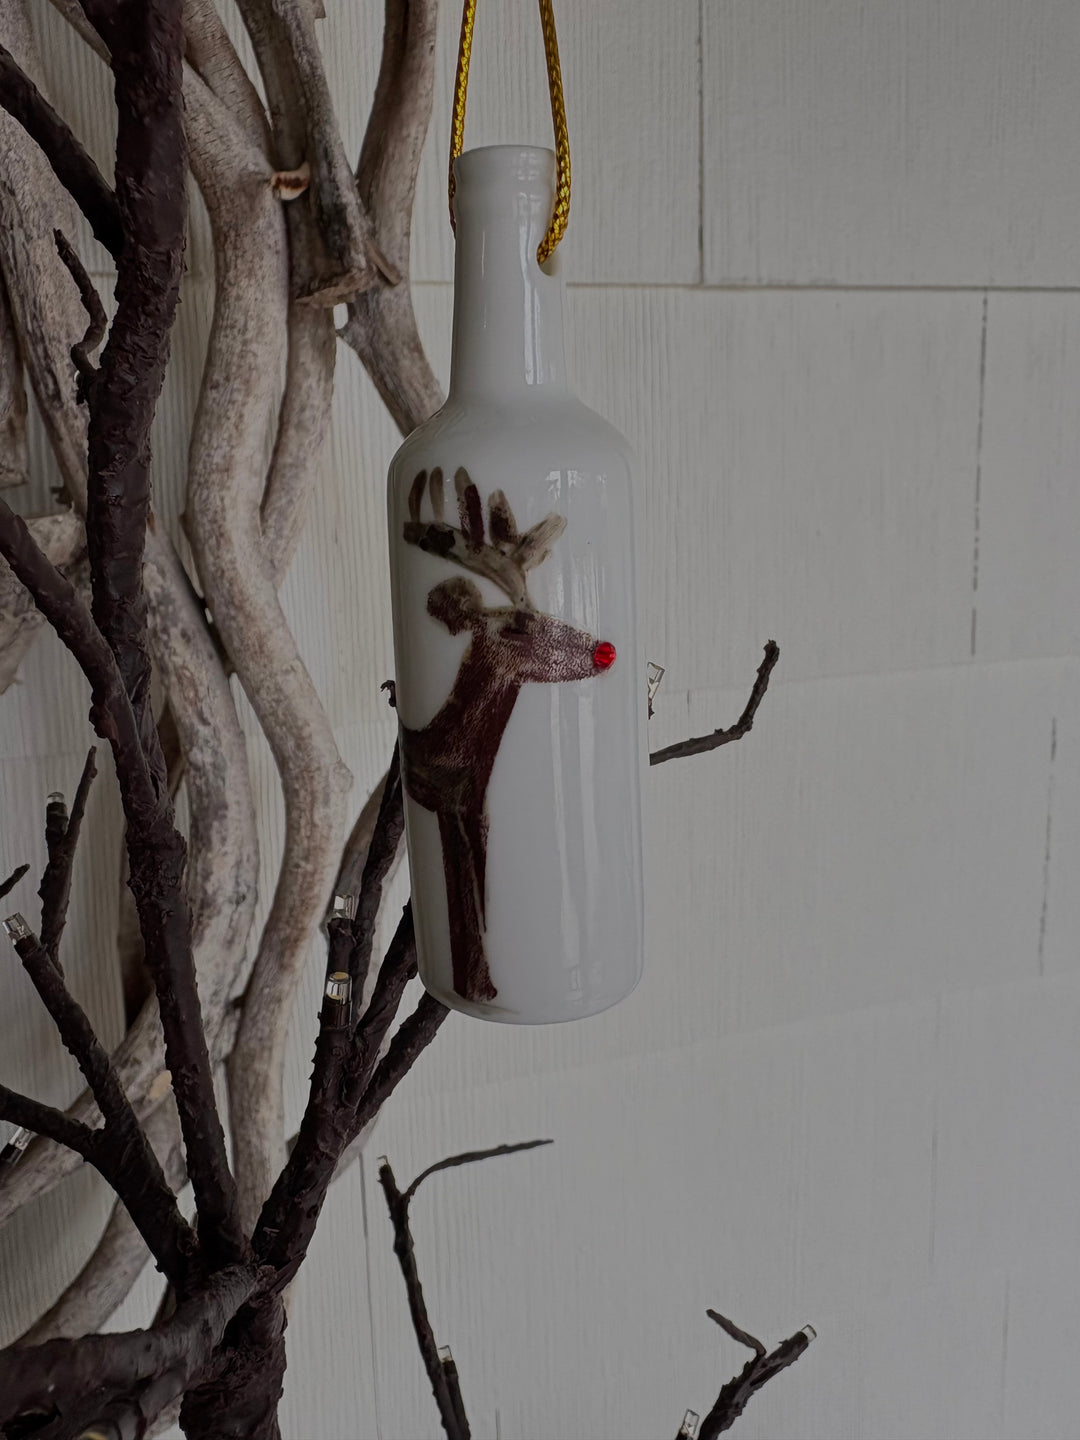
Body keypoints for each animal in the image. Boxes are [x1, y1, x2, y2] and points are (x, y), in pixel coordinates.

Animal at [400, 466, 616, 1004]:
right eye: (516, 627)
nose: (605, 650)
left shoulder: (476, 812)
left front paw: (483, 984)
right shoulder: (449, 809)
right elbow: (467, 909)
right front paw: (479, 987)